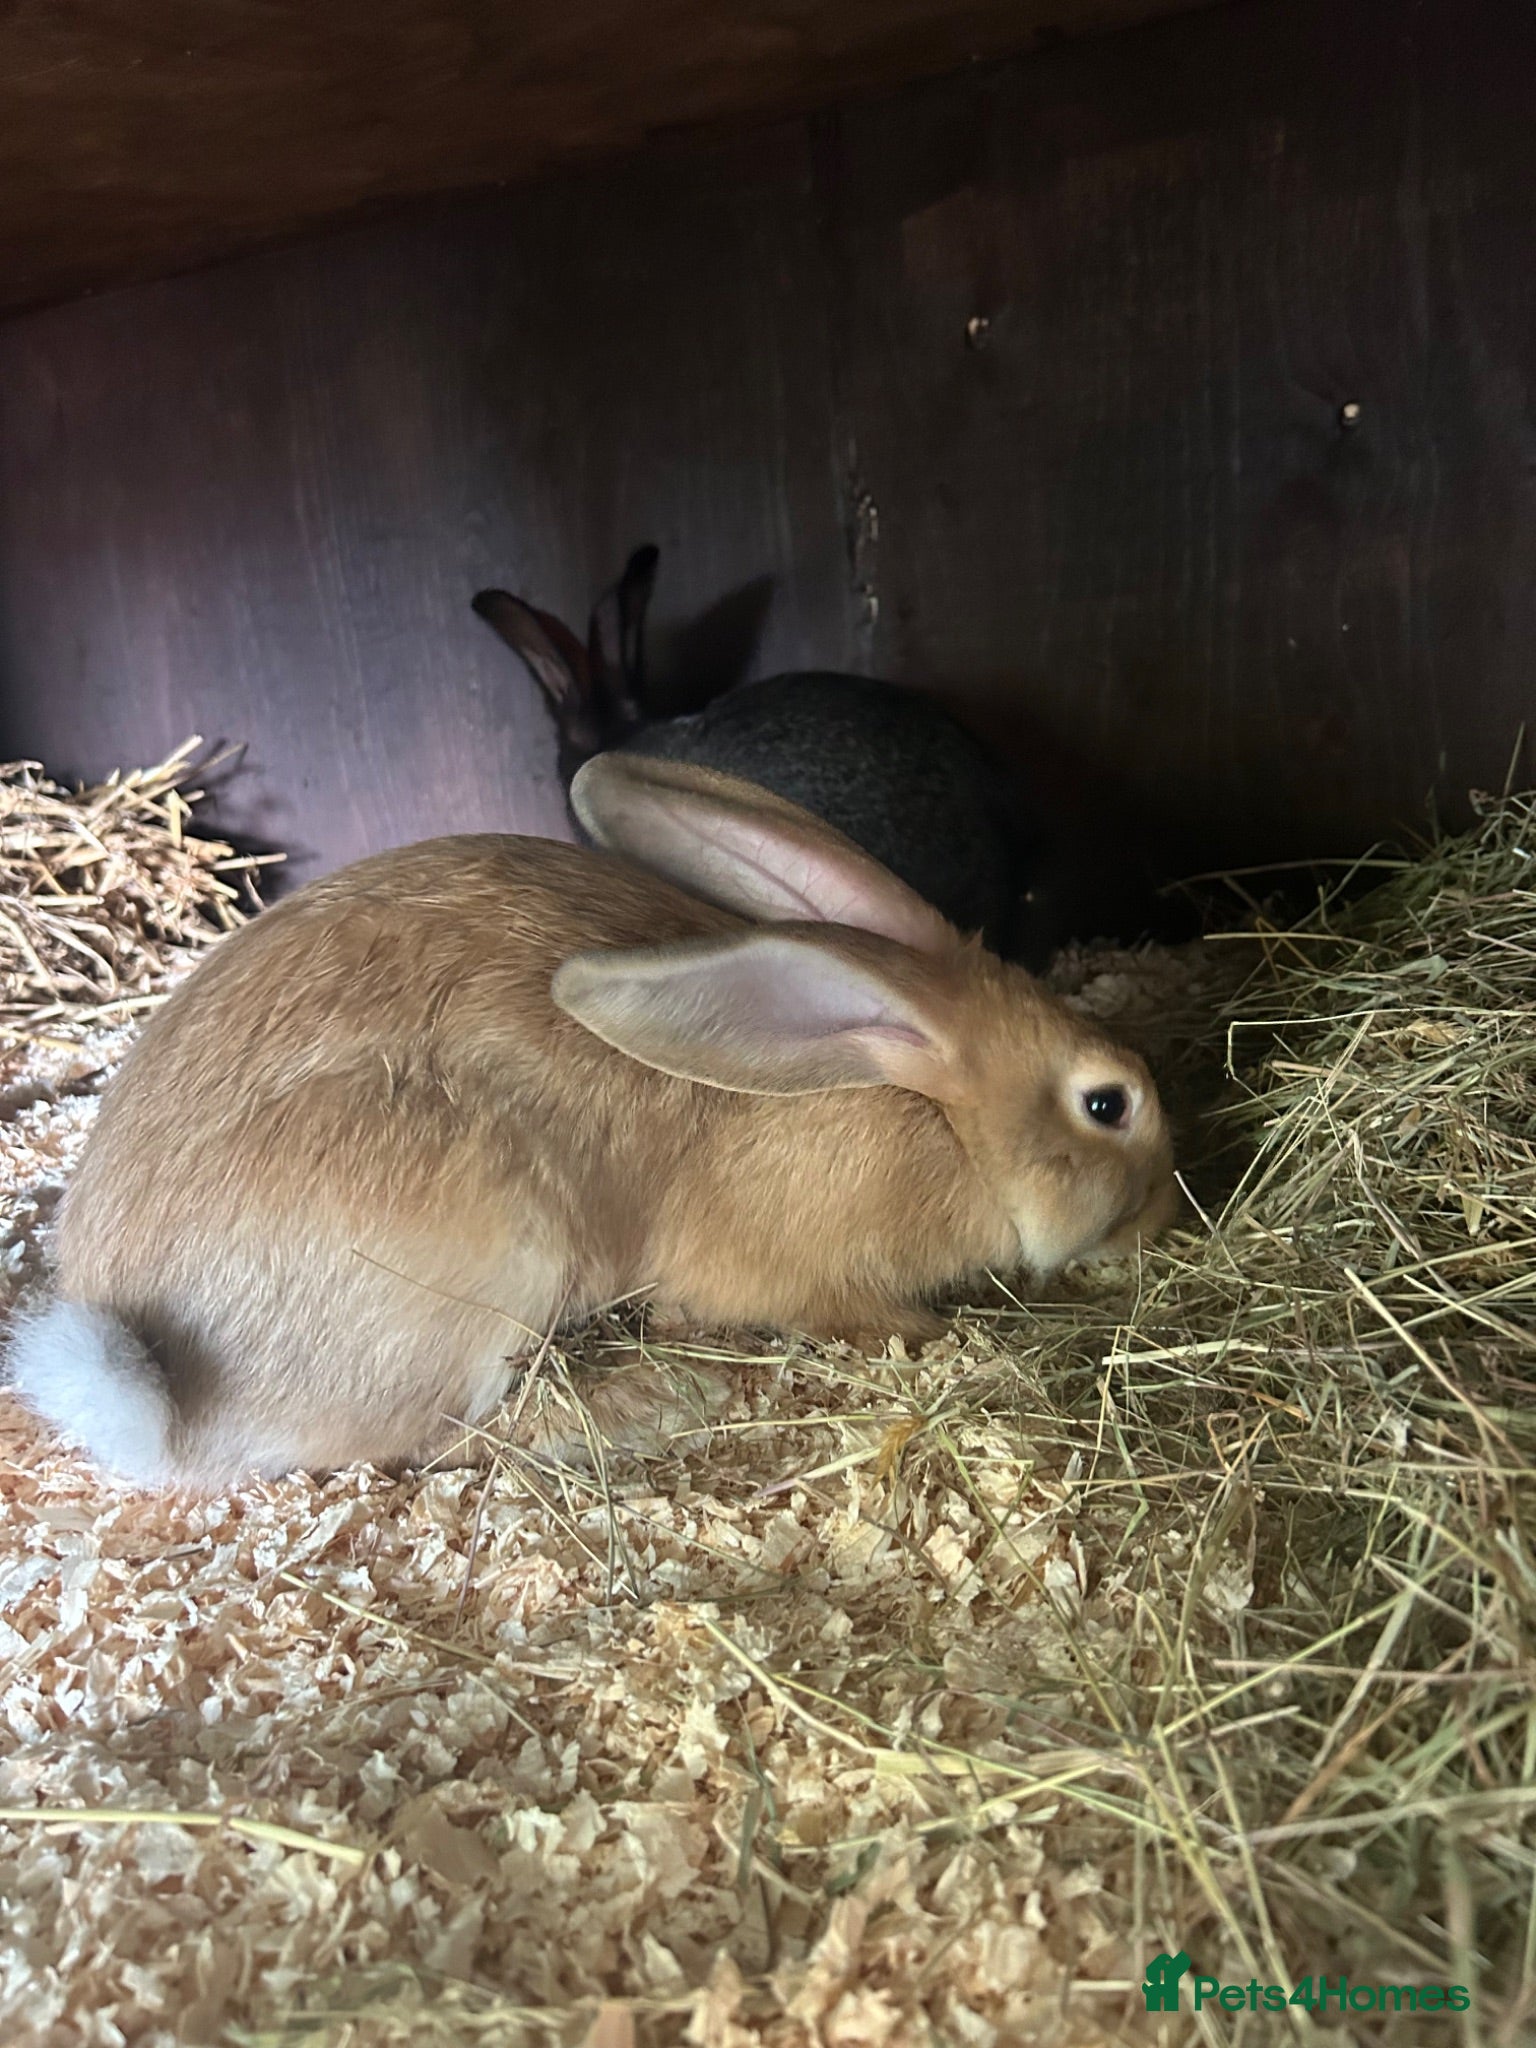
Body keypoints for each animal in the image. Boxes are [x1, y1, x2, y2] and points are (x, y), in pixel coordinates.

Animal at [9, 754, 1177, 1491]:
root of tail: (178, 1406)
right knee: (446, 1439)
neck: (935, 1108)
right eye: (1106, 1103)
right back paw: (655, 1403)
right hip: (487, 1254)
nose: (1165, 1215)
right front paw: (934, 1336)